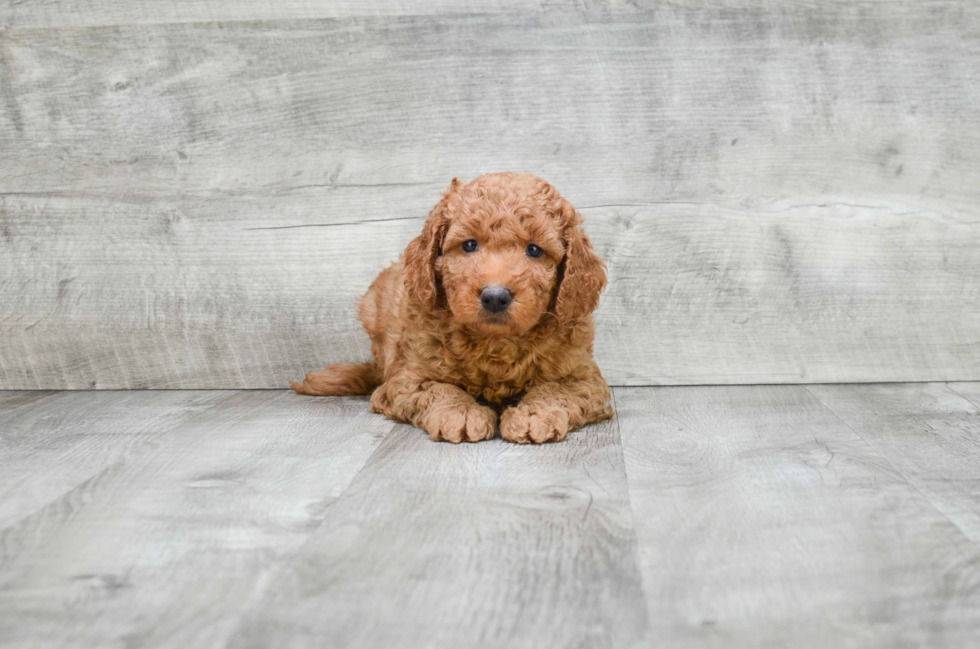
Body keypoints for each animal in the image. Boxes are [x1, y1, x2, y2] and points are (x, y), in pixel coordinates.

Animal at [290, 170, 612, 442]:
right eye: (469, 245)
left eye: (534, 250)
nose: (495, 296)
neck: (495, 343)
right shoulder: (407, 377)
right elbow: (439, 388)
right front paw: (462, 413)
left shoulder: (585, 377)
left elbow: (556, 388)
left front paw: (535, 415)